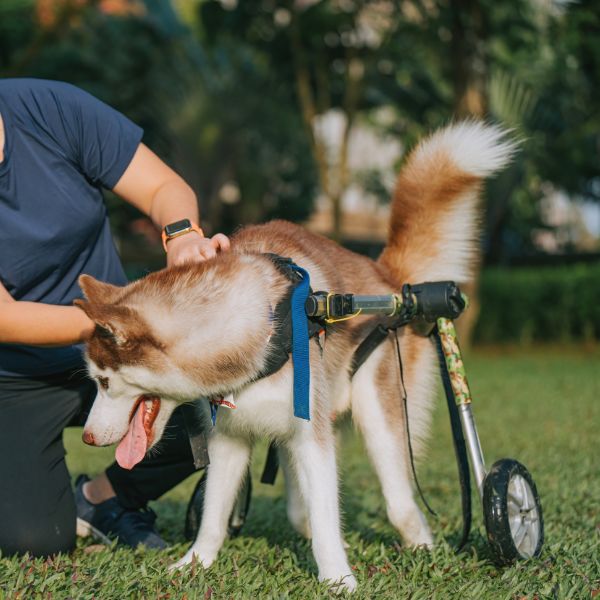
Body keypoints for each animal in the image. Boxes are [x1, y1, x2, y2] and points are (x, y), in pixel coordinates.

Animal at [76, 122, 516, 592]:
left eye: (104, 381)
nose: (86, 438)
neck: (259, 327)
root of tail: (388, 281)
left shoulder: (310, 436)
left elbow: (326, 516)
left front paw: (339, 579)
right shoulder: (229, 437)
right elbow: (215, 513)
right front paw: (196, 562)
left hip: (377, 414)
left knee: (399, 501)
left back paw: (424, 547)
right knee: (300, 504)